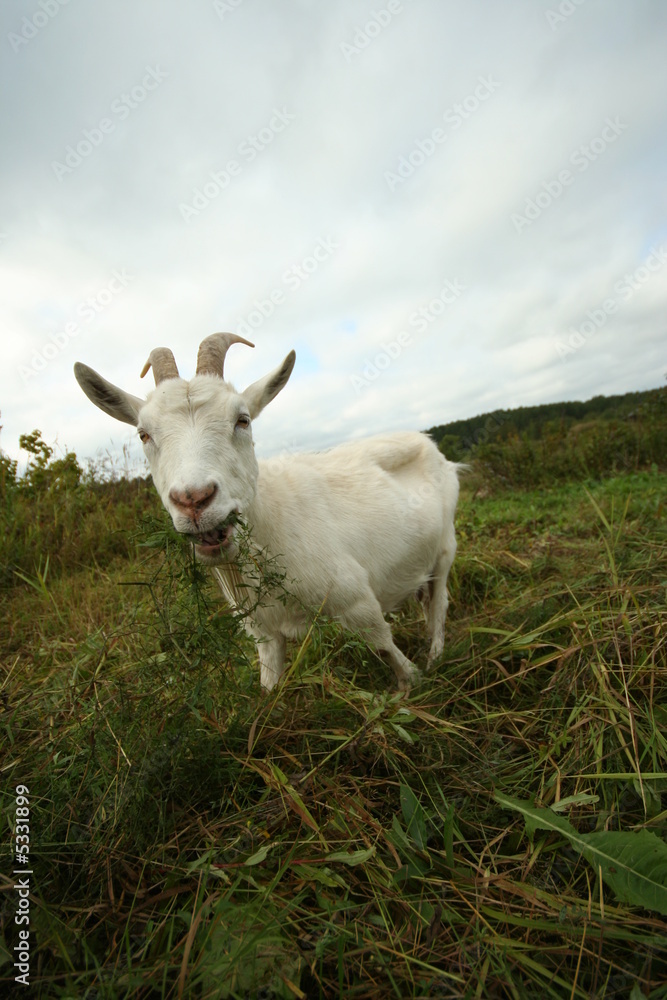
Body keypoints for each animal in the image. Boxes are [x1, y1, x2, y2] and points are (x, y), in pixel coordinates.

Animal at [74, 334, 460, 691]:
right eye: (143, 434)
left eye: (242, 420)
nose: (194, 499)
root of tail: (429, 443)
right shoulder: (263, 632)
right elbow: (269, 689)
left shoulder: (359, 606)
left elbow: (391, 655)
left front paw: (413, 683)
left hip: (445, 547)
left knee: (440, 603)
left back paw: (436, 656)